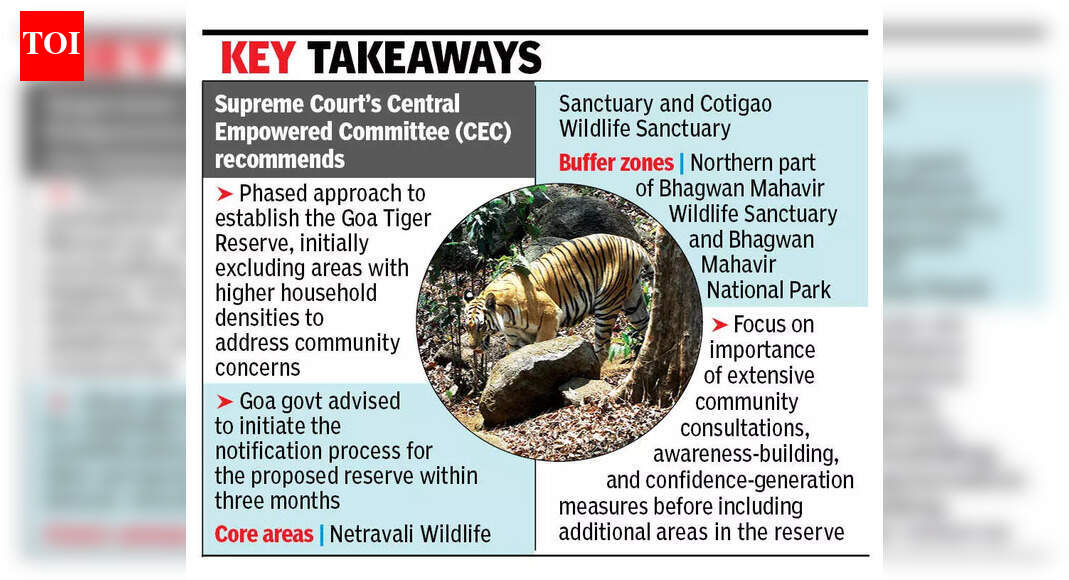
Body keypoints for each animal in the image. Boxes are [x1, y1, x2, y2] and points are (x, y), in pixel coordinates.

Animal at [463, 233, 651, 364]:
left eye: (481, 326)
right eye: (466, 327)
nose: (472, 347)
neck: (507, 319)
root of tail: (632, 243)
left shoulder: (550, 315)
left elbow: (539, 347)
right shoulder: (516, 339)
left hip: (607, 304)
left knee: (603, 346)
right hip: (633, 302)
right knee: (647, 324)